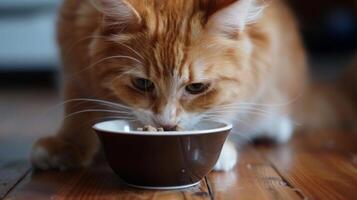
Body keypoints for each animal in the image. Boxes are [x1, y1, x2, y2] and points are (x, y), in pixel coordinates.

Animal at [30, 0, 306, 171]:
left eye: (196, 88)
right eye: (142, 83)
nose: (167, 124)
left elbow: (225, 107)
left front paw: (218, 152)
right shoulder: (74, 62)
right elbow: (79, 110)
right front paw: (67, 146)